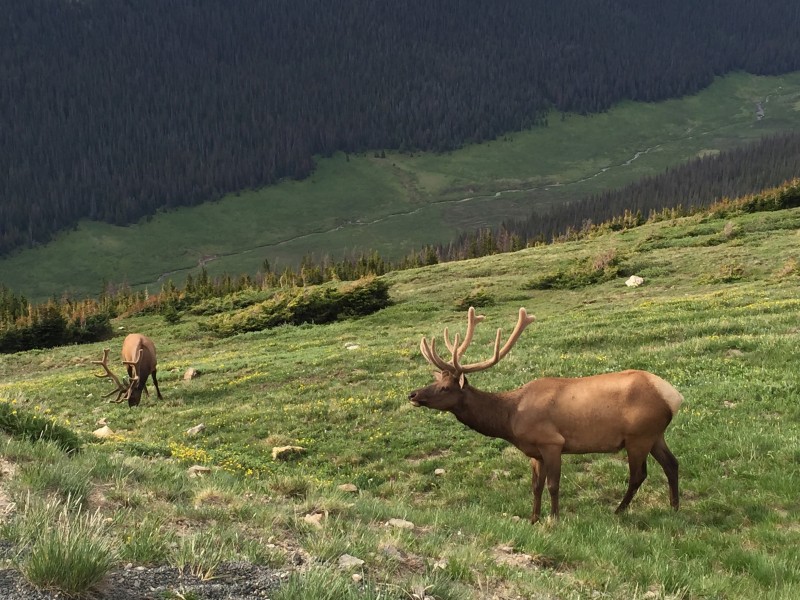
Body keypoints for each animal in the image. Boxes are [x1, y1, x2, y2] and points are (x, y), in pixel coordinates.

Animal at [410, 308, 684, 524]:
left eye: (446, 388)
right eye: (435, 381)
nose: (413, 394)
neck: (509, 419)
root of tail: (674, 396)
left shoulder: (552, 442)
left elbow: (553, 485)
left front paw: (554, 518)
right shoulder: (535, 451)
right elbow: (536, 486)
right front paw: (533, 518)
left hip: (639, 436)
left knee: (638, 475)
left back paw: (618, 511)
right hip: (655, 435)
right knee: (672, 464)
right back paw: (674, 507)